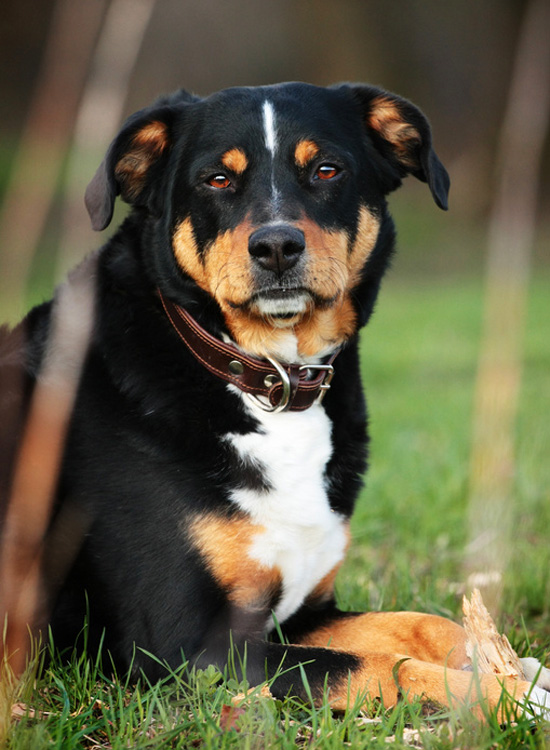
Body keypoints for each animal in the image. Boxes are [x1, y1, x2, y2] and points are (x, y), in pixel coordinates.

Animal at [1, 81, 550, 716]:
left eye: (326, 169)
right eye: (217, 179)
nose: (278, 245)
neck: (271, 382)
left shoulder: (303, 613)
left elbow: (419, 623)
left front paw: (521, 670)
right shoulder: (188, 648)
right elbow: (382, 666)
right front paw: (508, 699)